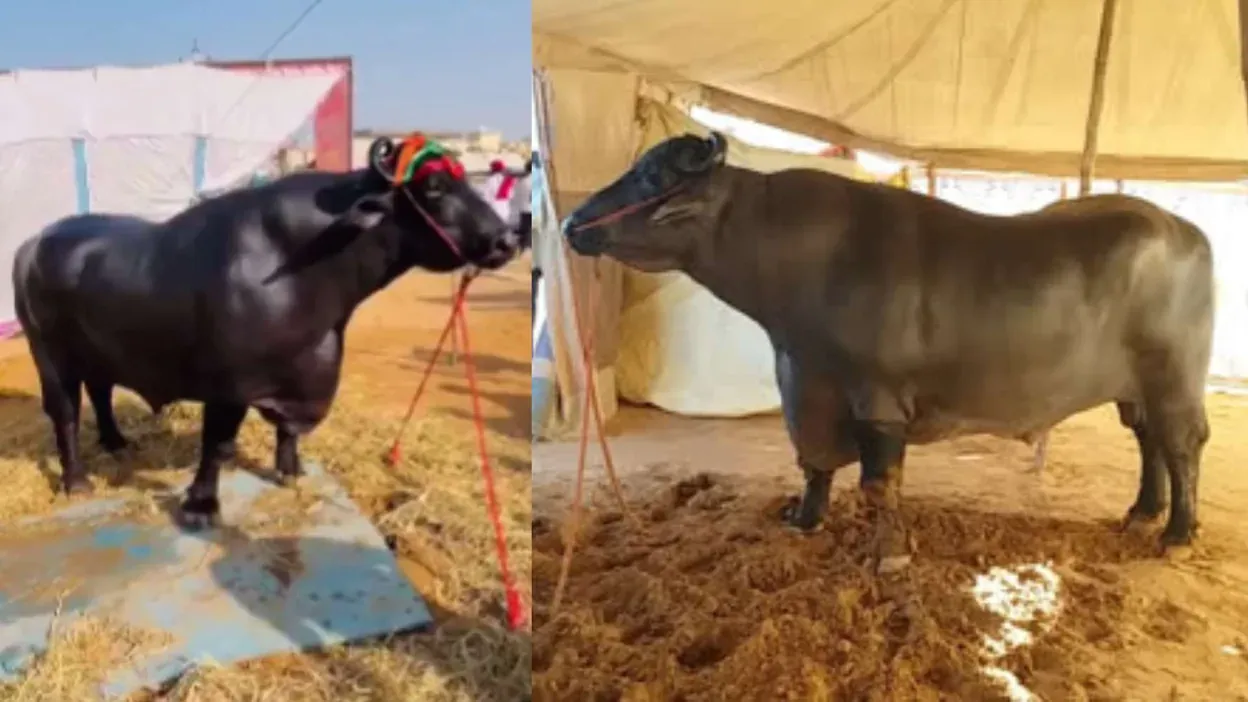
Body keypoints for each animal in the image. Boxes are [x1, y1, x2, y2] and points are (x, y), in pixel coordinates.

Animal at [13, 135, 519, 529]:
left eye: (466, 180)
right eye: (433, 187)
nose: (507, 240)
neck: (301, 267)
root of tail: (33, 244)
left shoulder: (300, 373)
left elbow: (288, 432)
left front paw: (290, 470)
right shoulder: (228, 387)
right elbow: (217, 445)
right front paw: (201, 506)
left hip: (98, 352)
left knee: (100, 393)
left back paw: (116, 442)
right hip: (50, 356)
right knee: (65, 413)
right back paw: (77, 480)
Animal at [563, 131, 1213, 573]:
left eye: (653, 176)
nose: (573, 223)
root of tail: (1184, 229)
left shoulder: (878, 399)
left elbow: (880, 485)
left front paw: (890, 555)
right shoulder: (808, 385)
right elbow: (814, 462)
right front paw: (803, 520)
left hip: (1175, 380)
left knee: (1181, 445)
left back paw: (1177, 535)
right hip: (1136, 389)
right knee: (1149, 441)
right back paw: (1141, 514)